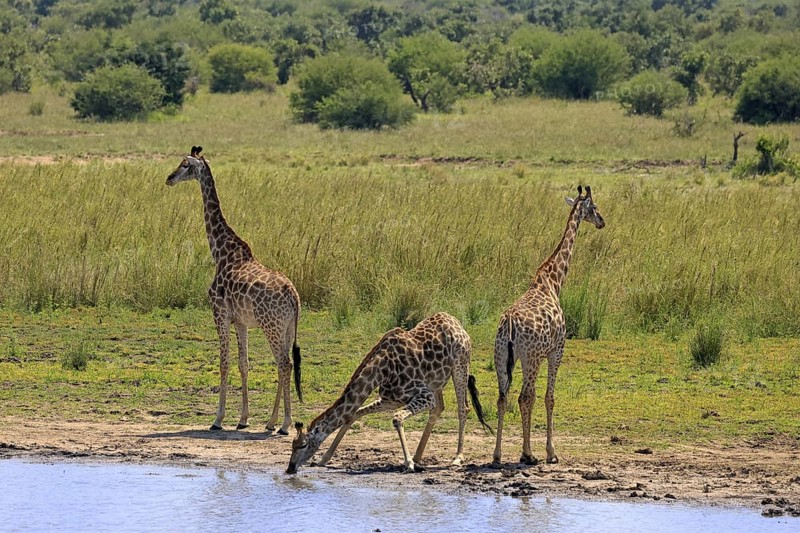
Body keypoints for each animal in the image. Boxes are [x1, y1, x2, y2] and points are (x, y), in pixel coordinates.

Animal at [166, 146, 302, 434]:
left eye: (186, 165)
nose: (169, 178)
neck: (220, 252)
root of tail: (293, 294)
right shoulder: (240, 322)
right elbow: (243, 364)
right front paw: (243, 418)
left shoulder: (219, 314)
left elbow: (223, 362)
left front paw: (217, 419)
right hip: (287, 327)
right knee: (284, 364)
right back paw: (271, 422)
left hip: (271, 326)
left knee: (284, 364)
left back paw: (285, 424)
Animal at [286, 312, 492, 474]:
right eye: (292, 445)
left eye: (302, 445)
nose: (290, 468)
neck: (381, 371)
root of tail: (457, 322)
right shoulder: (391, 399)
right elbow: (354, 413)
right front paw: (324, 458)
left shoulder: (423, 395)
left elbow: (397, 418)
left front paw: (408, 463)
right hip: (436, 382)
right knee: (439, 408)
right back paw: (418, 456)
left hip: (460, 366)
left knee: (463, 408)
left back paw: (457, 458)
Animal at [492, 185, 605, 465]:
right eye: (595, 207)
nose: (602, 222)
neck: (553, 281)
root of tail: (509, 326)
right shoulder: (557, 350)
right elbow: (549, 397)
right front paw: (551, 452)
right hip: (530, 358)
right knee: (525, 396)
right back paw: (528, 454)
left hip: (501, 357)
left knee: (502, 398)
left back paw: (497, 455)